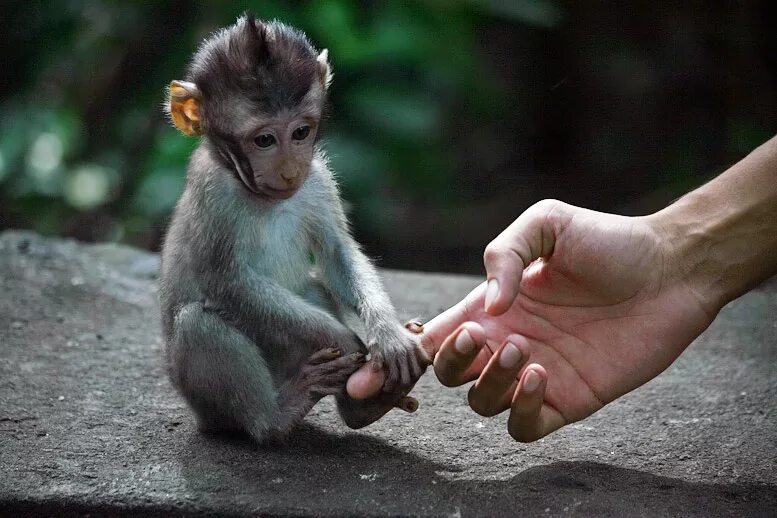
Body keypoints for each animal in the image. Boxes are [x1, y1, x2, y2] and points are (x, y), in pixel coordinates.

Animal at [160, 15, 428, 442]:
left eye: (301, 132)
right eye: (264, 140)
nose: (289, 171)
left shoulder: (318, 179)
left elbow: (337, 253)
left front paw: (386, 333)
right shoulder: (212, 190)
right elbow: (226, 281)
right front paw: (346, 340)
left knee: (314, 288)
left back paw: (363, 408)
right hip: (202, 399)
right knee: (198, 325)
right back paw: (276, 417)